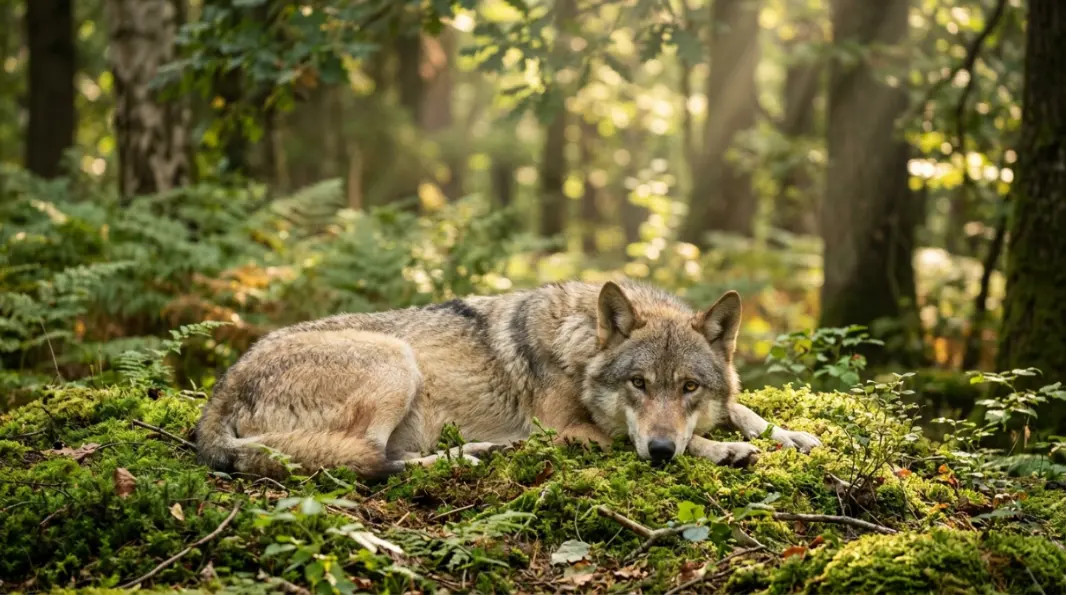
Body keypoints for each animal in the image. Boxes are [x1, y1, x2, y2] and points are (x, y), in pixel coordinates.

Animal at [194, 280, 821, 479]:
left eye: (689, 387)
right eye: (639, 384)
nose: (663, 451)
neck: (579, 349)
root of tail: (219, 394)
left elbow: (741, 406)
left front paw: (789, 434)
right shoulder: (574, 432)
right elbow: (637, 437)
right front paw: (722, 449)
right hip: (395, 359)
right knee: (374, 459)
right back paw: (471, 454)